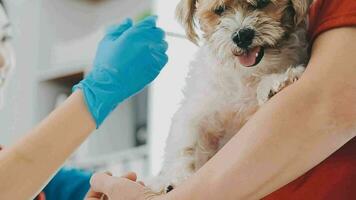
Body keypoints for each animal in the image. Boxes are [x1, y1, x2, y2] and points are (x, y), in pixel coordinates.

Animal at [146, 0, 310, 195]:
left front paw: (275, 82)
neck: (245, 75)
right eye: (219, 10)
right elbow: (185, 148)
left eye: (262, 3)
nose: (242, 35)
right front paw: (174, 180)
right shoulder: (195, 114)